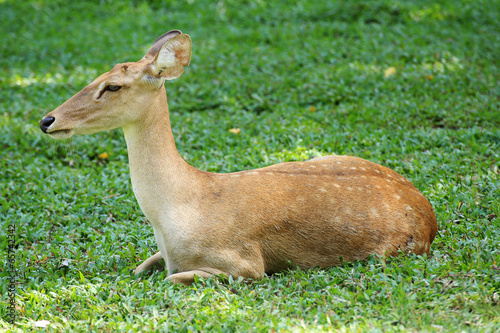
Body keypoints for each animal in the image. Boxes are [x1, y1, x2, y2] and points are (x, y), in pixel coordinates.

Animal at [40, 29, 438, 286]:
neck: (172, 213)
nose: (48, 120)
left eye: (112, 86)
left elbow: (173, 278)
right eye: (98, 75)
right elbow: (140, 268)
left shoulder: (244, 262)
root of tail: (428, 213)